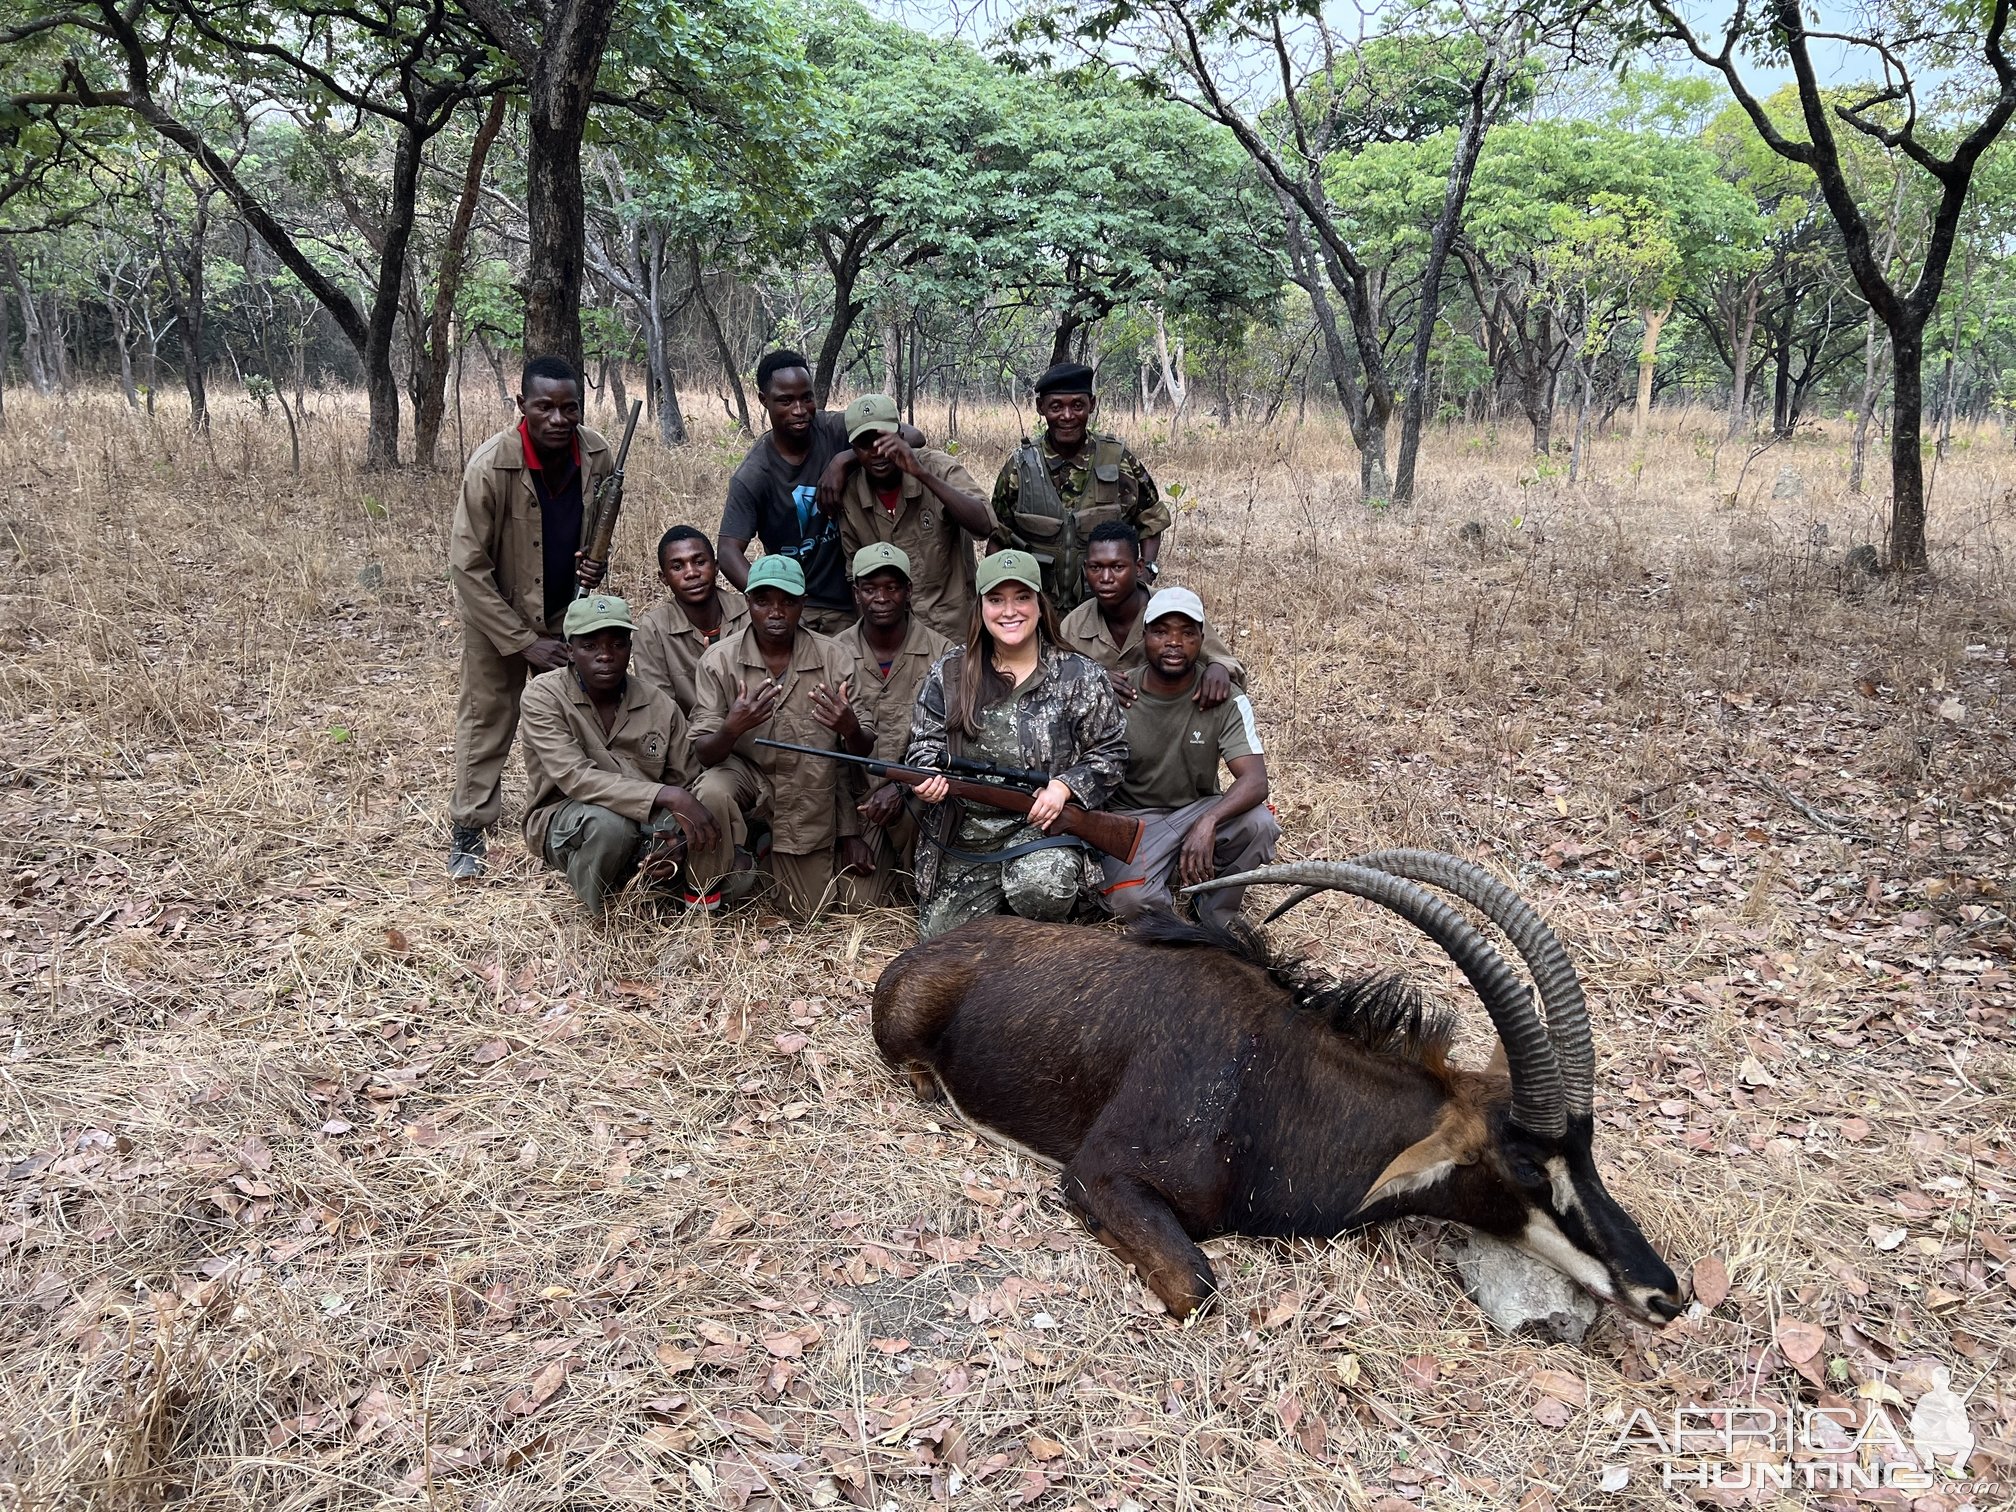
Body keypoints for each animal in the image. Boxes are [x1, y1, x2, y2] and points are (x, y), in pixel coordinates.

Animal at [874, 854, 1677, 1322]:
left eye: (1588, 1153)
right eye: (1525, 1166)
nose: (1664, 1293)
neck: (1274, 1085)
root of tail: (925, 952)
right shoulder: (1098, 1176)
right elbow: (1198, 1289)